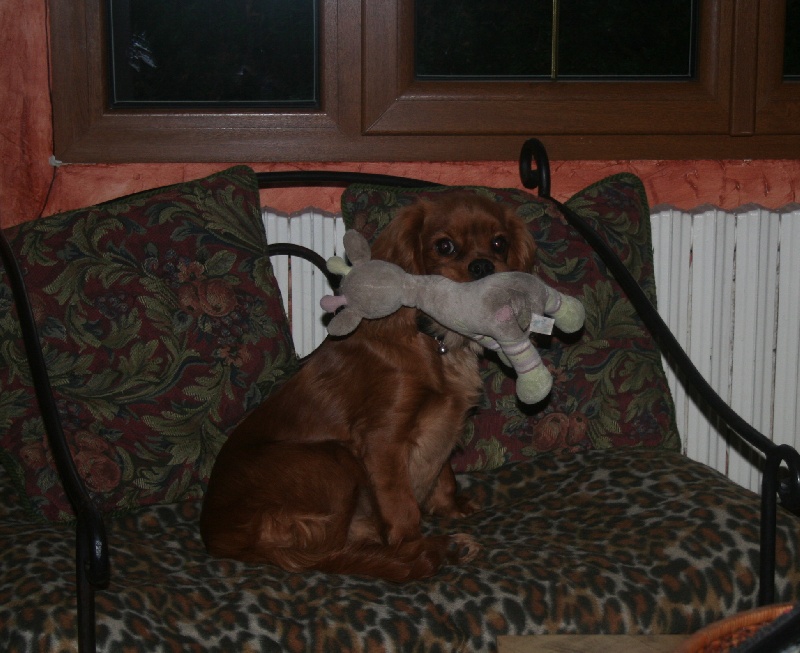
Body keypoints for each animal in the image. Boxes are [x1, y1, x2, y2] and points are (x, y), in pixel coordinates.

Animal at [200, 192, 537, 581]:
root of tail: (219, 535)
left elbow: (444, 474)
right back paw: (434, 550)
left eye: (499, 243)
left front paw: (450, 506)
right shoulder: (382, 440)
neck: (434, 343)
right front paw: (415, 542)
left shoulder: (444, 424)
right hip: (334, 459)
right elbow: (402, 507)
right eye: (444, 246)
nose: (483, 266)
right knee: (333, 553)